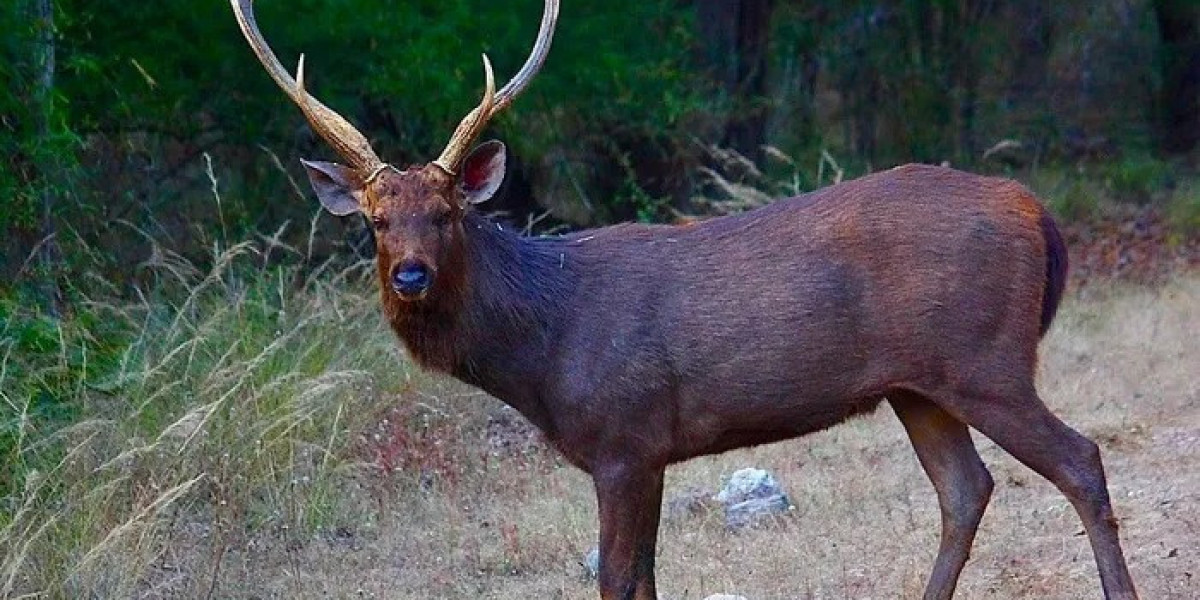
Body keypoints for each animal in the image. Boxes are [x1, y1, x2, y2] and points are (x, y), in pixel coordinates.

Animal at [230, 1, 1139, 598]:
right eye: (377, 221)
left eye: (448, 213)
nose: (410, 276)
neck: (541, 353)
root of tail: (1034, 211)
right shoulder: (652, 451)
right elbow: (645, 576)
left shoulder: (624, 436)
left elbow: (618, 579)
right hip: (918, 384)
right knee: (965, 490)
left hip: (985, 358)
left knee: (1080, 461)